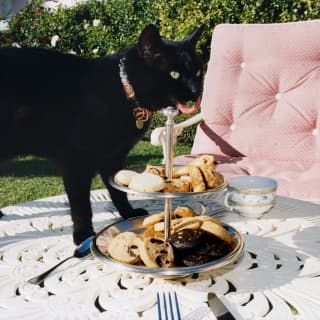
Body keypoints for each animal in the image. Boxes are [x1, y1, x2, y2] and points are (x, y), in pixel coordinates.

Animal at [0, 25, 204, 244]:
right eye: (174, 74)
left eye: (198, 71)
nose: (196, 90)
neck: (123, 90)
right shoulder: (76, 163)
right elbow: (81, 207)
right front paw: (84, 236)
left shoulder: (114, 157)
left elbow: (118, 191)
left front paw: (128, 215)